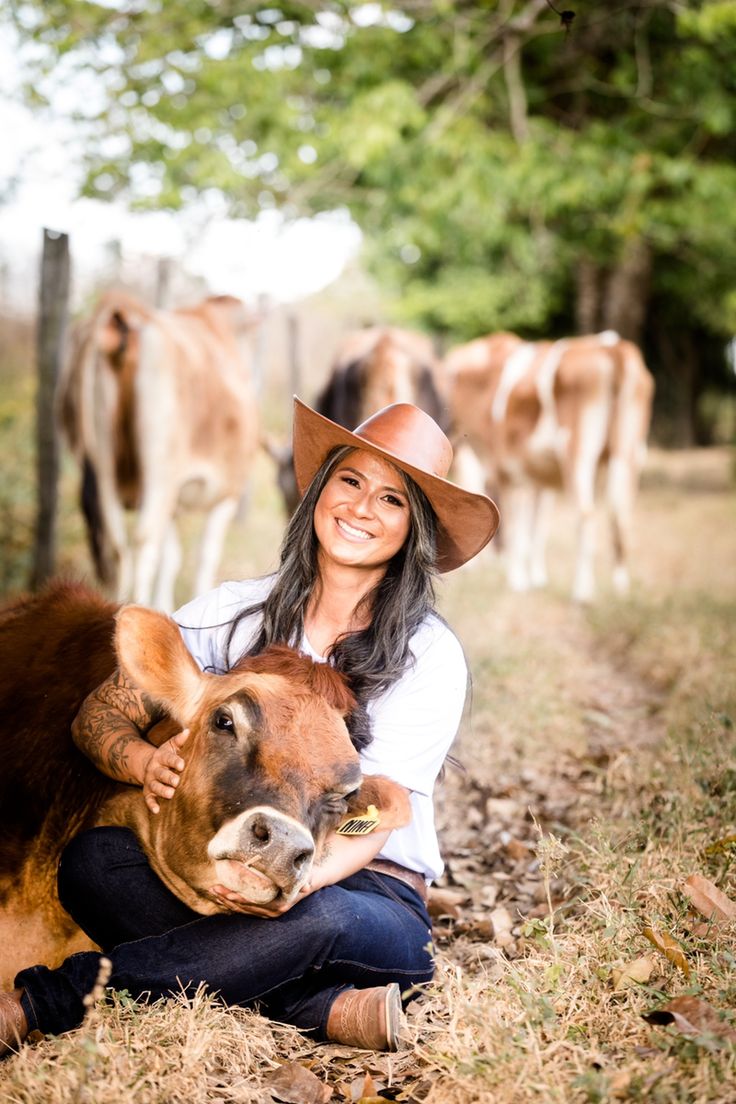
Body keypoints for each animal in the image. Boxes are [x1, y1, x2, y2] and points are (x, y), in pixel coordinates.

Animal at [59, 289, 261, 609]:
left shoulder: (174, 503)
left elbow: (171, 559)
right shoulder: (227, 493)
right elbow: (205, 556)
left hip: (105, 469)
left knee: (117, 545)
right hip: (159, 472)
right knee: (143, 541)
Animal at [443, 331, 657, 604]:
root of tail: (612, 346)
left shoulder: (509, 473)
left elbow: (516, 527)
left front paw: (517, 580)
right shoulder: (540, 480)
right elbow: (538, 527)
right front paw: (537, 579)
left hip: (577, 453)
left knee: (586, 514)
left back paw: (582, 592)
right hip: (630, 454)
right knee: (621, 516)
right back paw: (621, 588)